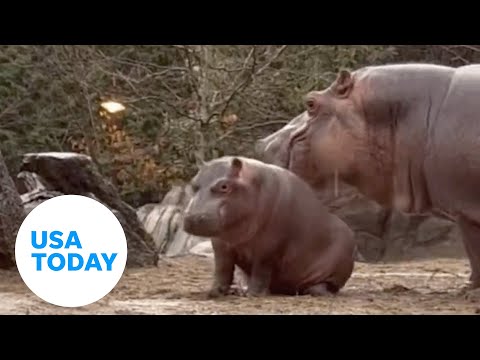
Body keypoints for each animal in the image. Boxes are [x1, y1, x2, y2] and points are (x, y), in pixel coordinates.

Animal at [182, 156, 354, 296]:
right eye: (193, 183)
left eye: (224, 186)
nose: (192, 218)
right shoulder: (221, 245)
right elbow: (222, 269)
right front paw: (214, 292)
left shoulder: (268, 248)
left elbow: (261, 270)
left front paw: (253, 294)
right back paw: (239, 290)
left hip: (336, 268)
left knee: (325, 285)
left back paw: (317, 291)